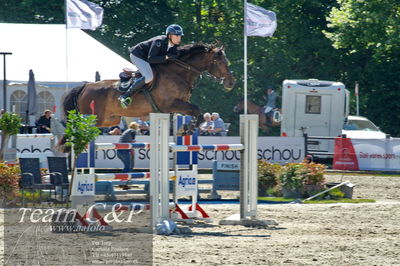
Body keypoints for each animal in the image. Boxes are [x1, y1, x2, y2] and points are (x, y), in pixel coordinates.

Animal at [62, 42, 234, 128]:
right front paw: (189, 129)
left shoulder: (179, 105)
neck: (178, 73)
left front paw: (188, 128)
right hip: (94, 117)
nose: (231, 82)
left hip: (110, 119)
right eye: (219, 61)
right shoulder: (170, 104)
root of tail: (85, 86)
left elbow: (196, 112)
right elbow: (196, 109)